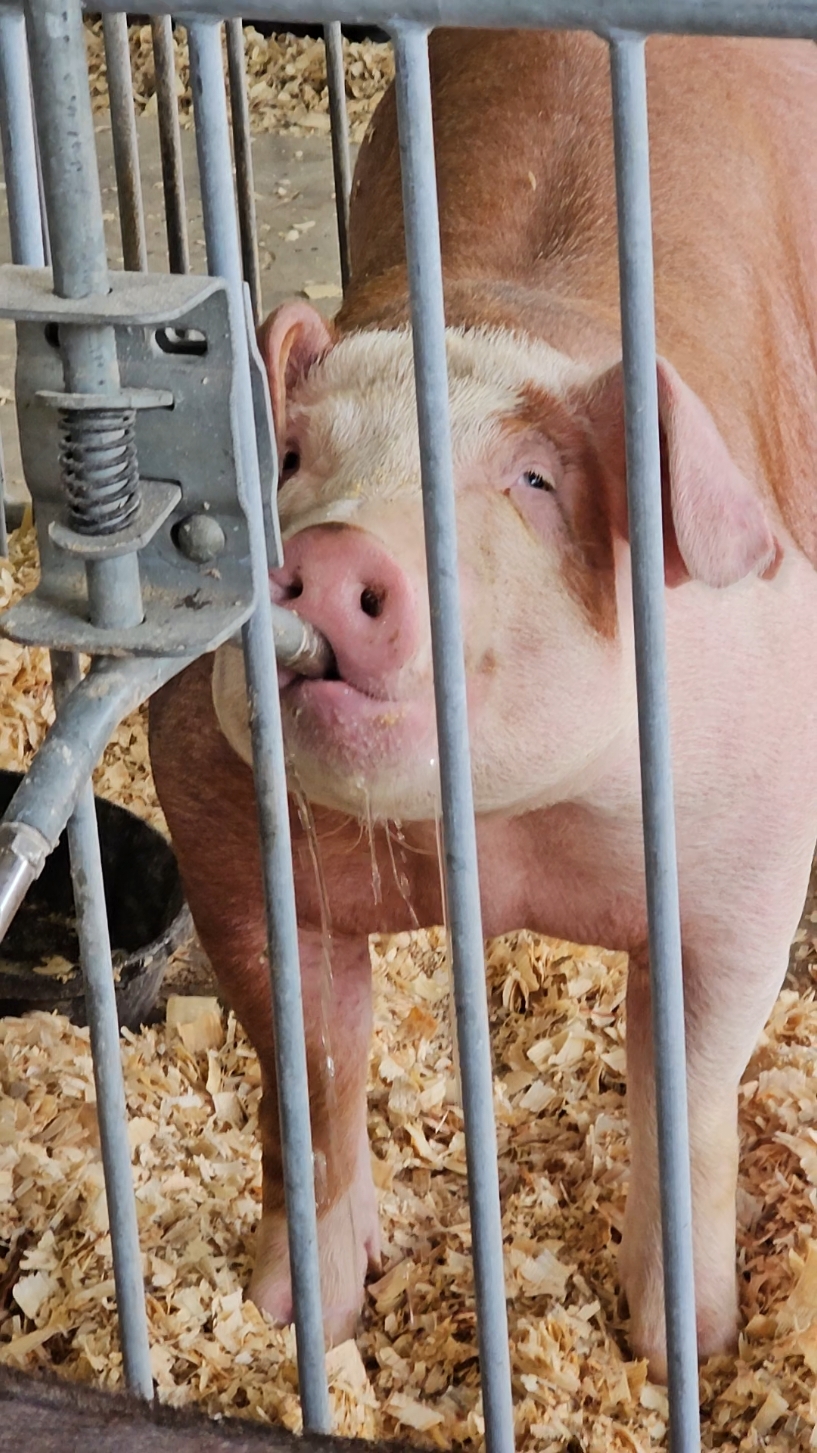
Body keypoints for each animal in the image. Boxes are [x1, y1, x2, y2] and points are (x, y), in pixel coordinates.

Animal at [147, 28, 817, 1377]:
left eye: (534, 481)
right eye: (289, 462)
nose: (335, 551)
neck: (506, 837)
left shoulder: (751, 848)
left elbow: (690, 1085)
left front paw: (685, 1351)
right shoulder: (215, 812)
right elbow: (308, 1065)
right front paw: (294, 1317)